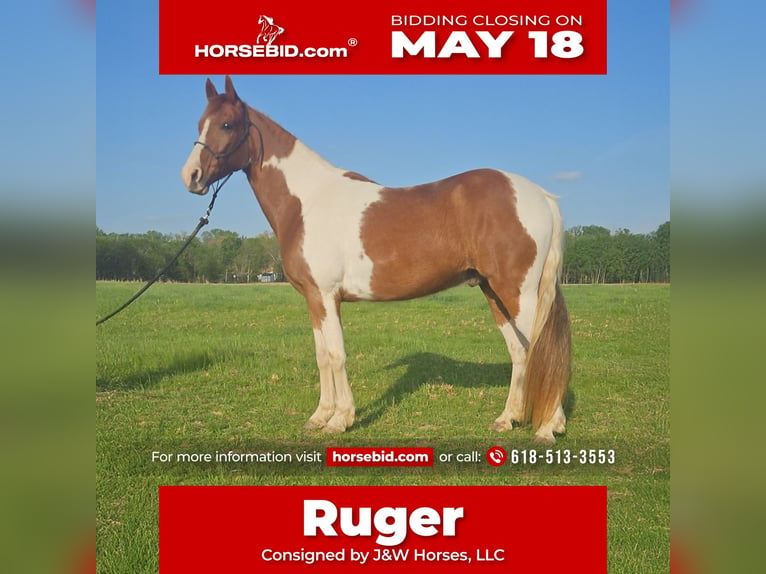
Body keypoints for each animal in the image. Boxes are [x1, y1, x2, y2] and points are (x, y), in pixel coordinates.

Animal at [180, 76, 571, 444]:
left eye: (227, 124)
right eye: (200, 123)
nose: (191, 177)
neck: (307, 201)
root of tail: (541, 195)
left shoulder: (325, 296)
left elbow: (336, 355)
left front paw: (340, 420)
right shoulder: (316, 299)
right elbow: (322, 355)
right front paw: (319, 416)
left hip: (518, 293)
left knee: (539, 350)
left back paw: (545, 428)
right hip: (493, 292)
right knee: (520, 351)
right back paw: (513, 419)